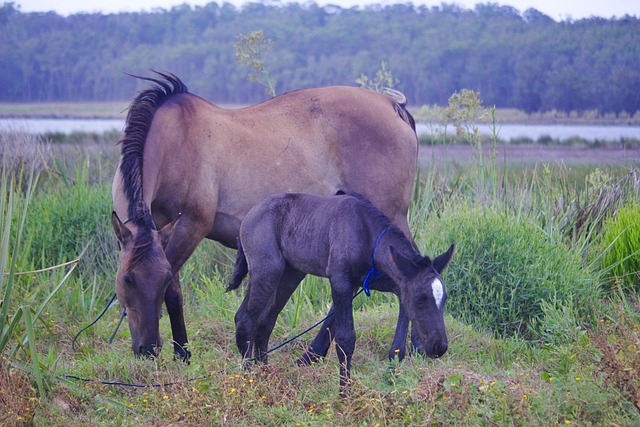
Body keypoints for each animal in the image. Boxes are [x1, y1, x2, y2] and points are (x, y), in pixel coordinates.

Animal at [110, 71, 420, 362]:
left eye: (156, 281)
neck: (177, 143)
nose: (148, 348)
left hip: (388, 219)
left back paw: (399, 350)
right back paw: (313, 354)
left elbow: (174, 292)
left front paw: (182, 353)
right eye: (127, 279)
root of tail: (392, 105)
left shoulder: (191, 226)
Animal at [228, 192, 452, 396]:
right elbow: (345, 339)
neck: (366, 234)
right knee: (245, 319)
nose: (438, 346)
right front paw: (345, 395)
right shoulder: (341, 282)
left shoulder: (383, 283)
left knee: (265, 322)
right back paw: (249, 378)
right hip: (267, 271)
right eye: (420, 299)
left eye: (444, 299)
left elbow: (397, 345)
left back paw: (266, 374)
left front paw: (392, 380)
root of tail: (250, 214)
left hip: (290, 274)